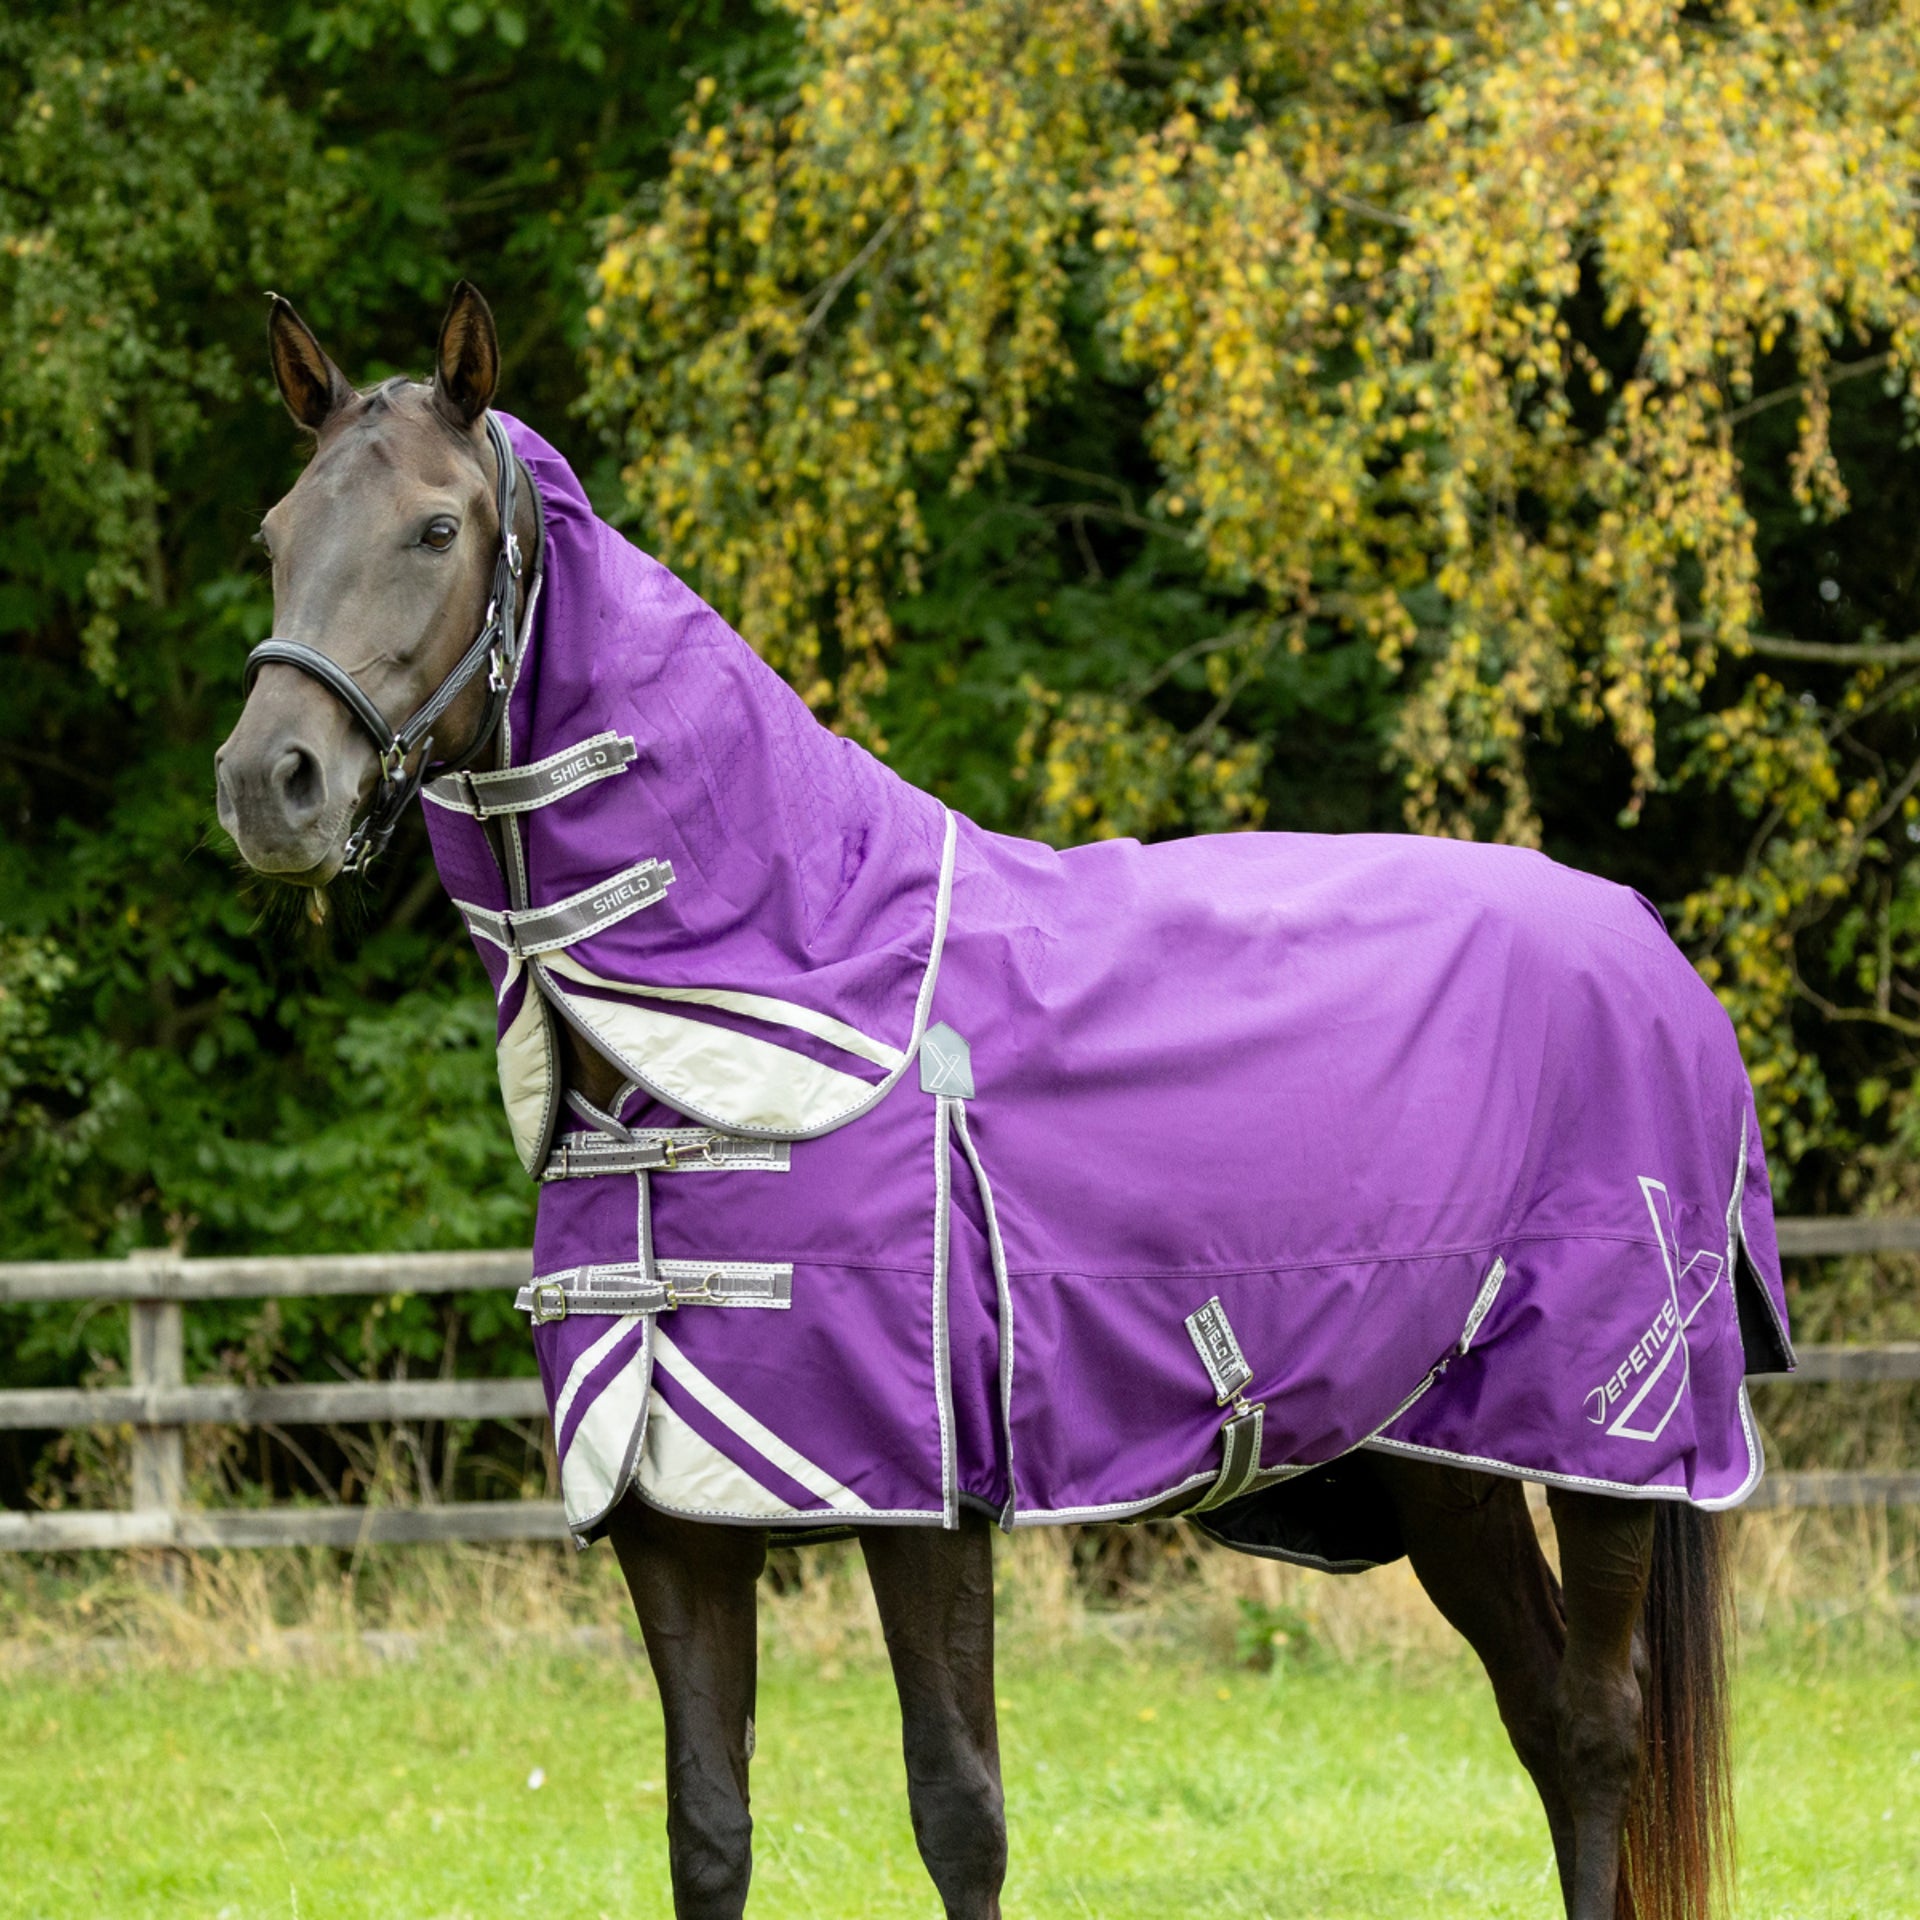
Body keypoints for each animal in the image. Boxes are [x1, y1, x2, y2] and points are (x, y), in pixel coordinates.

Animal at [216, 283, 1784, 1920]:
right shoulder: (666, 1520)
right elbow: (708, 1831)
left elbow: (958, 1813)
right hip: (1451, 1466)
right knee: (1543, 1718)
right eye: (275, 529)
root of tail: (1647, 942)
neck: (777, 996)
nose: (271, 784)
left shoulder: (929, 1503)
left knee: (1595, 1733)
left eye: (434, 529)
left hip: (1609, 1442)